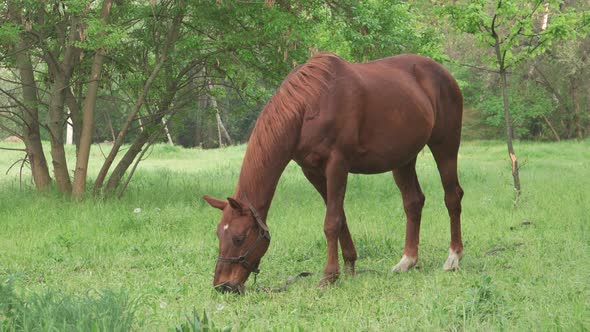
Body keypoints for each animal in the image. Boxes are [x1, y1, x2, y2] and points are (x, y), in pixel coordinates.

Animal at [206, 53, 464, 294]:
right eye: (218, 235)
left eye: (239, 238)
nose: (223, 286)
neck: (309, 105)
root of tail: (444, 74)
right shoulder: (312, 171)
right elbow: (340, 217)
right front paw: (349, 266)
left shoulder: (337, 164)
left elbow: (331, 222)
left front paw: (328, 276)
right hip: (403, 159)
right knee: (413, 202)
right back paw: (407, 261)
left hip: (445, 146)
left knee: (452, 197)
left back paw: (453, 258)